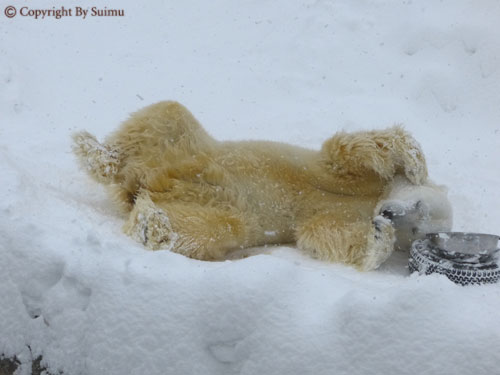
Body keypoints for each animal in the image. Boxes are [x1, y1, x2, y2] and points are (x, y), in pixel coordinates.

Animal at [73, 100, 454, 270]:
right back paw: (96, 153)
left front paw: (378, 240)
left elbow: (323, 234)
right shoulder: (350, 176)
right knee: (168, 114)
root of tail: (143, 185)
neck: (371, 200)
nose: (388, 216)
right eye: (419, 206)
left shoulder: (328, 217)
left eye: (416, 231)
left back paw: (153, 225)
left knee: (210, 228)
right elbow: (349, 151)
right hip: (187, 150)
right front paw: (415, 162)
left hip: (214, 208)